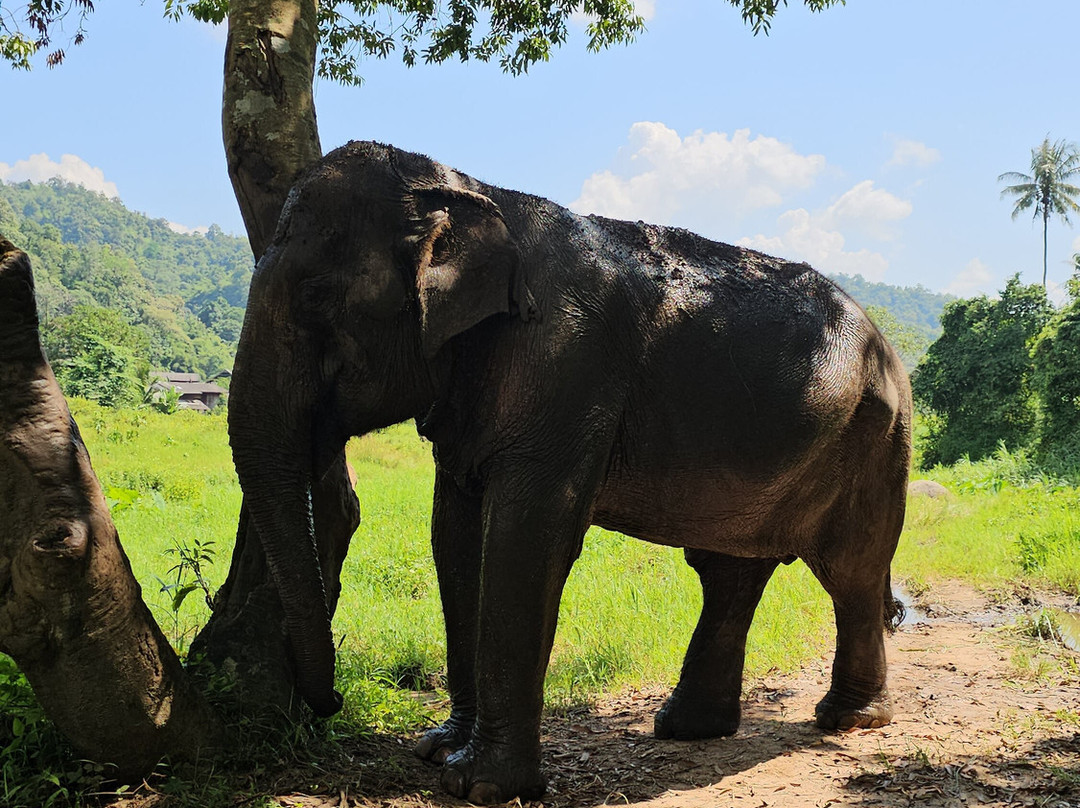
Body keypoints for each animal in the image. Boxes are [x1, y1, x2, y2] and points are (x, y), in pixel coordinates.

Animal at [228, 141, 911, 803]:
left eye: (315, 297)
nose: (332, 701)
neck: (473, 188)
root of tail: (887, 344)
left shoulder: (567, 365)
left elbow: (525, 539)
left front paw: (480, 785)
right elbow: (455, 539)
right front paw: (438, 749)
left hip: (877, 441)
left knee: (849, 570)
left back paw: (848, 719)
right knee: (728, 573)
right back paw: (688, 727)